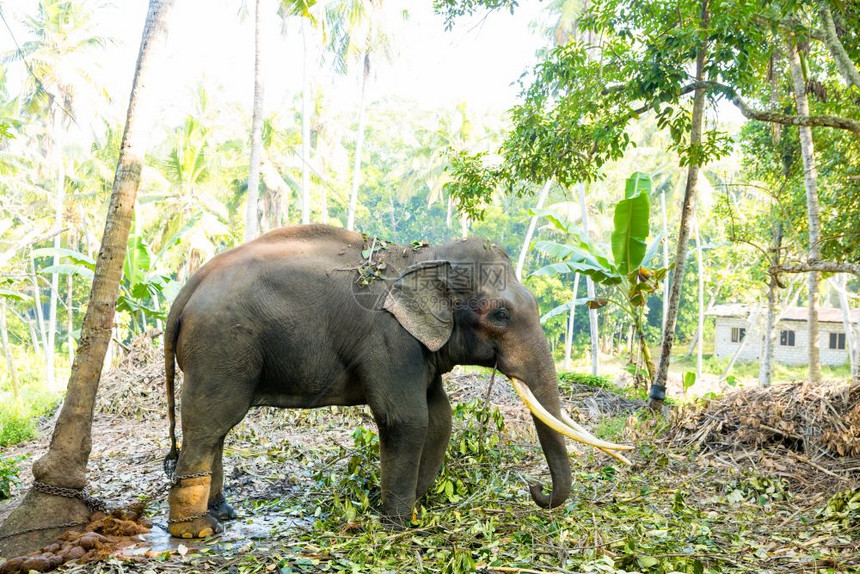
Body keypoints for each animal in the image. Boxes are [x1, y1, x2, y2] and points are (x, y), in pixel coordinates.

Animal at [163, 224, 632, 540]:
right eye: (500, 315)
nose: (534, 489)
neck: (424, 255)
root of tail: (187, 288)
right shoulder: (390, 339)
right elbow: (407, 419)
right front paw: (397, 524)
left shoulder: (420, 348)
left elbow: (439, 418)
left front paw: (411, 507)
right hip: (222, 346)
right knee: (210, 421)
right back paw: (197, 531)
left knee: (216, 428)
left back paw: (223, 514)